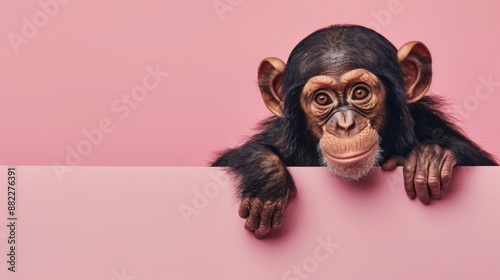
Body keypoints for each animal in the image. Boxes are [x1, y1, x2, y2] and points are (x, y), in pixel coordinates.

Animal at [210, 24, 496, 238]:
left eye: (360, 92)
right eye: (322, 99)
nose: (345, 124)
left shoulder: (430, 123)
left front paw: (430, 158)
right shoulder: (282, 138)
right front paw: (267, 180)